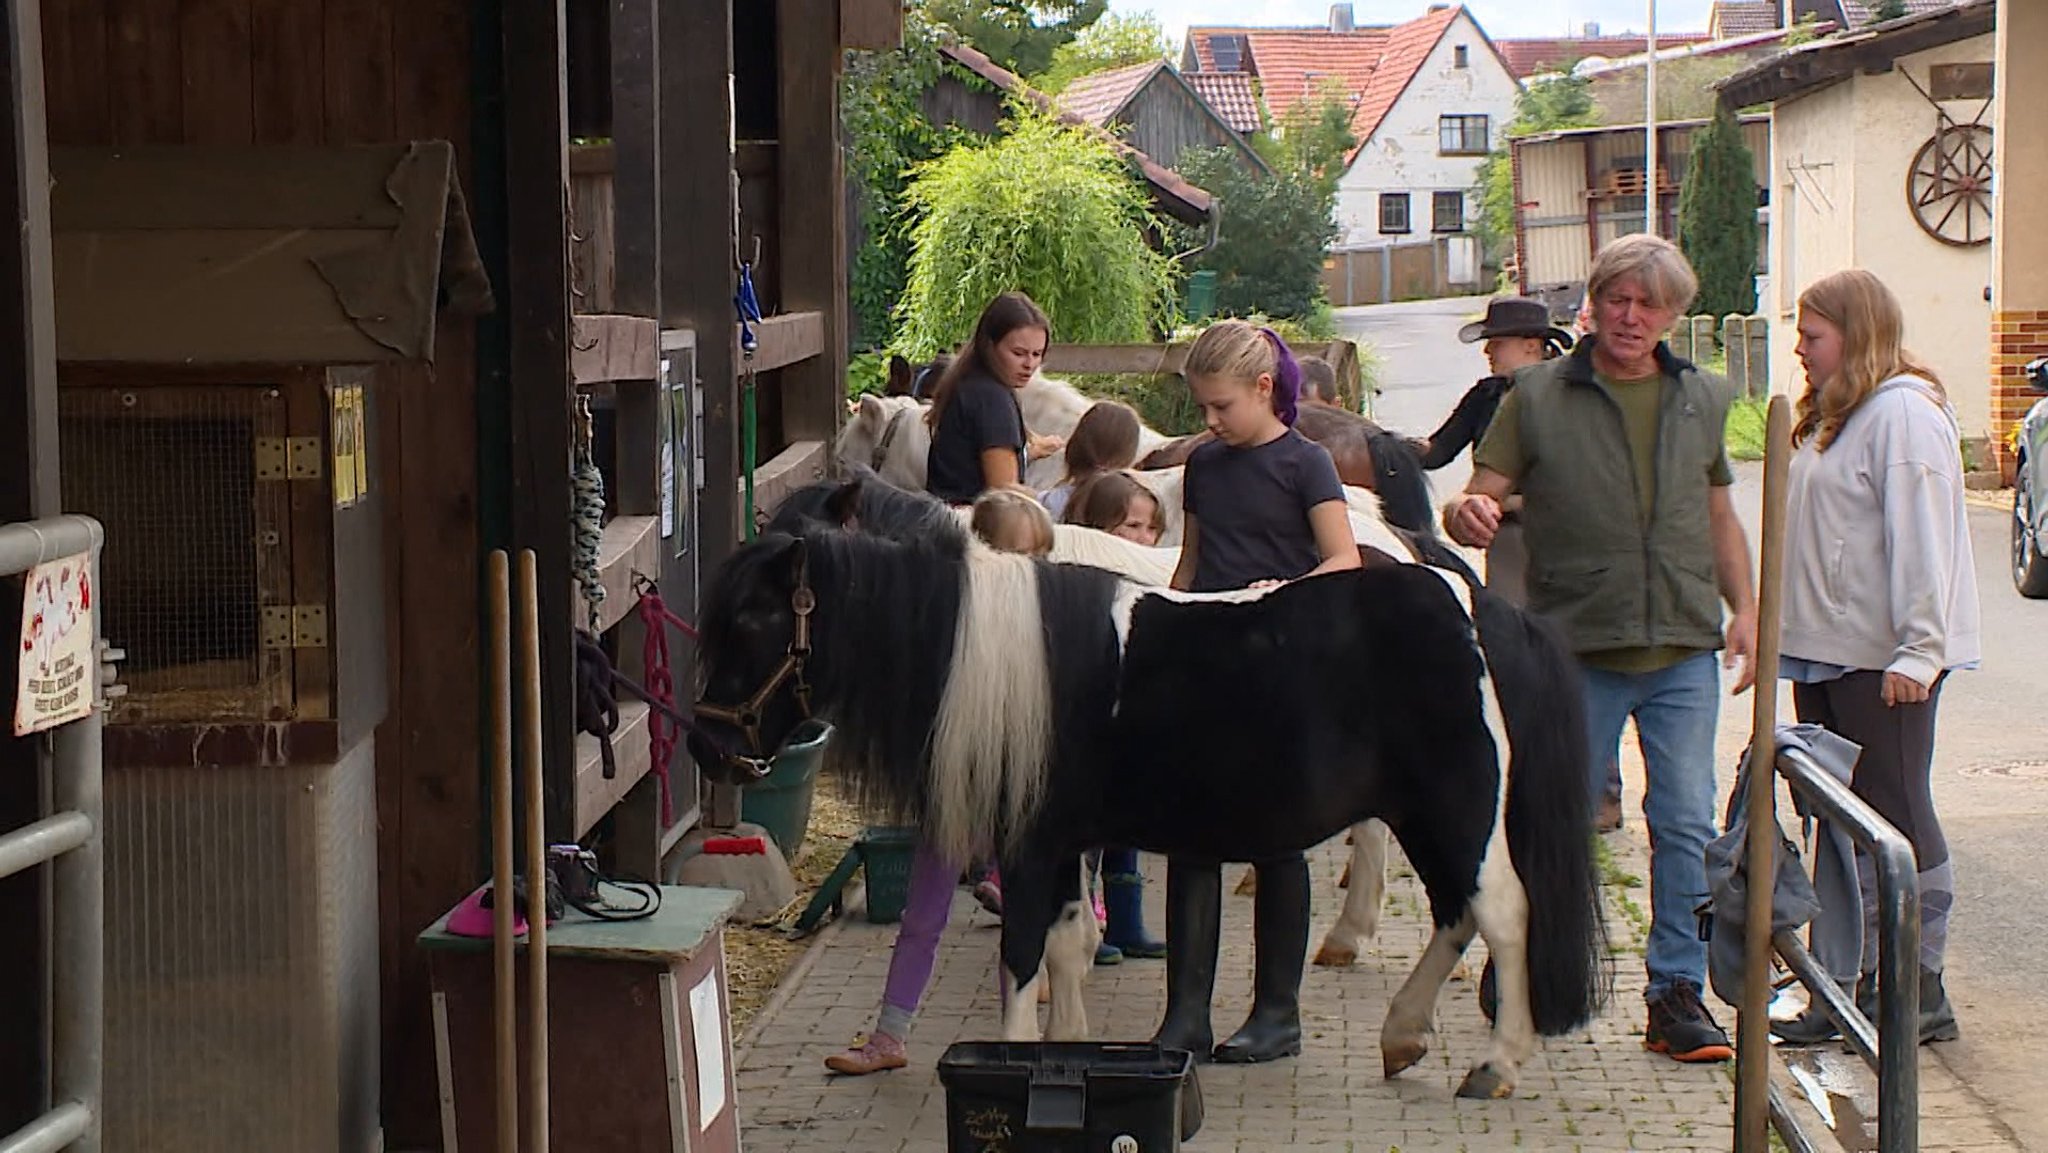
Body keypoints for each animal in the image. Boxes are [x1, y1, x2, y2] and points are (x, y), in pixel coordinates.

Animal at [696, 479, 1605, 1097]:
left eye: (753, 618)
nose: (709, 740)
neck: (987, 654)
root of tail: (1476, 605)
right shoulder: (1064, 841)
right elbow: (1069, 946)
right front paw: (1065, 1054)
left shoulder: (1030, 844)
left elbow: (1022, 958)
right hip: (1426, 808)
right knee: (1455, 913)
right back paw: (1403, 1035)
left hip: (1460, 803)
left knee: (1501, 911)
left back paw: (1493, 1062)